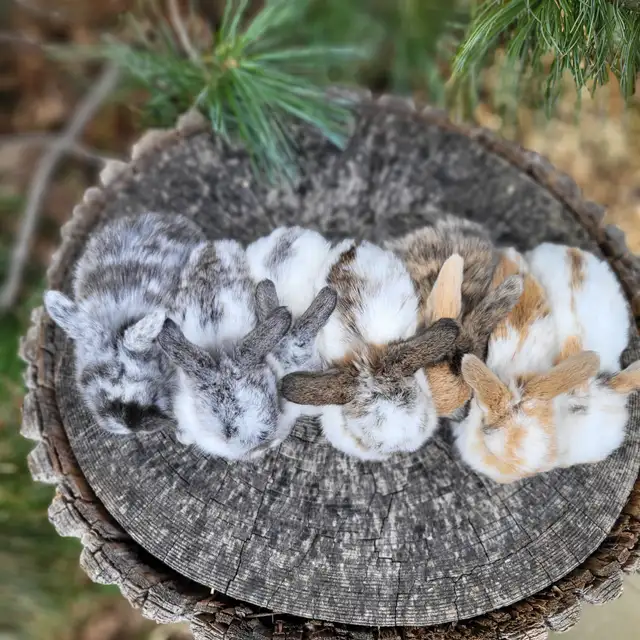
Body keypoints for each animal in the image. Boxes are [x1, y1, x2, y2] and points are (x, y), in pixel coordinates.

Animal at [152, 240, 296, 460]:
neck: (219, 350)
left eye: (273, 405)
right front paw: (184, 438)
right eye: (227, 431)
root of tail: (213, 245)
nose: (262, 448)